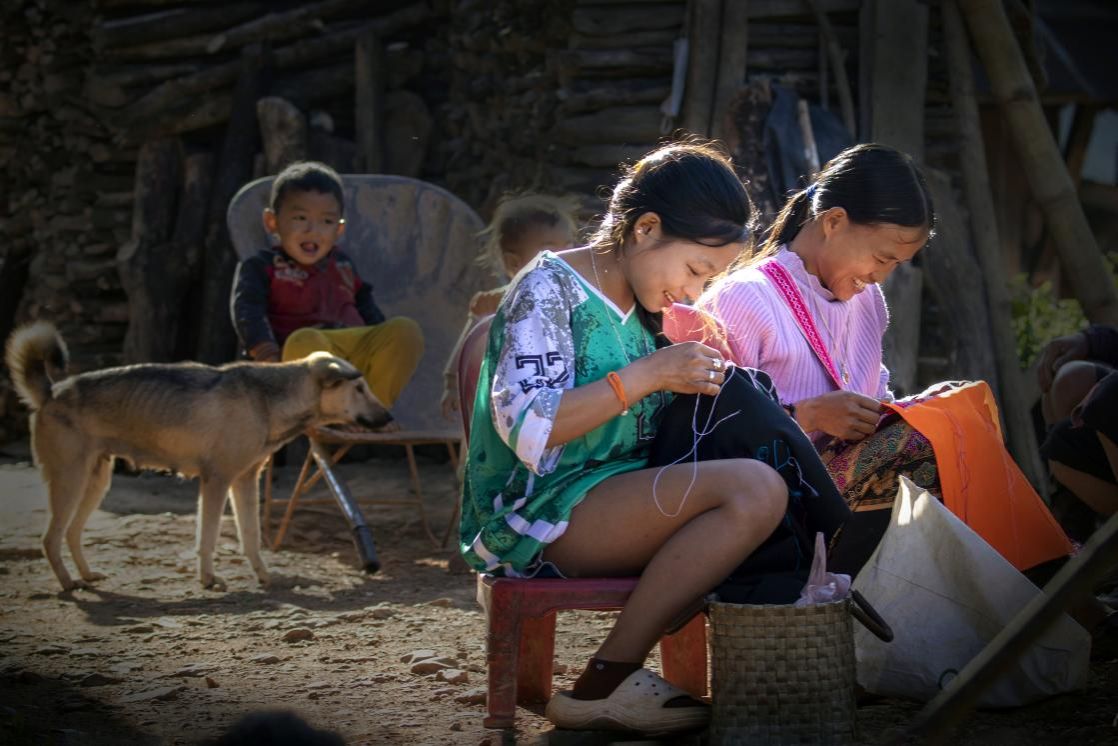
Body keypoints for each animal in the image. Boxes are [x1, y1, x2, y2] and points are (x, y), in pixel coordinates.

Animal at [4, 322, 391, 590]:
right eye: (359, 388)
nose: (389, 417)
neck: (268, 400)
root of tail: (52, 392)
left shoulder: (244, 482)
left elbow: (251, 538)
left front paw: (264, 577)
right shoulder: (216, 482)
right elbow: (207, 538)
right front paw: (209, 579)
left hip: (95, 482)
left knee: (71, 534)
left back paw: (86, 575)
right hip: (71, 480)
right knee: (50, 539)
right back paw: (69, 583)